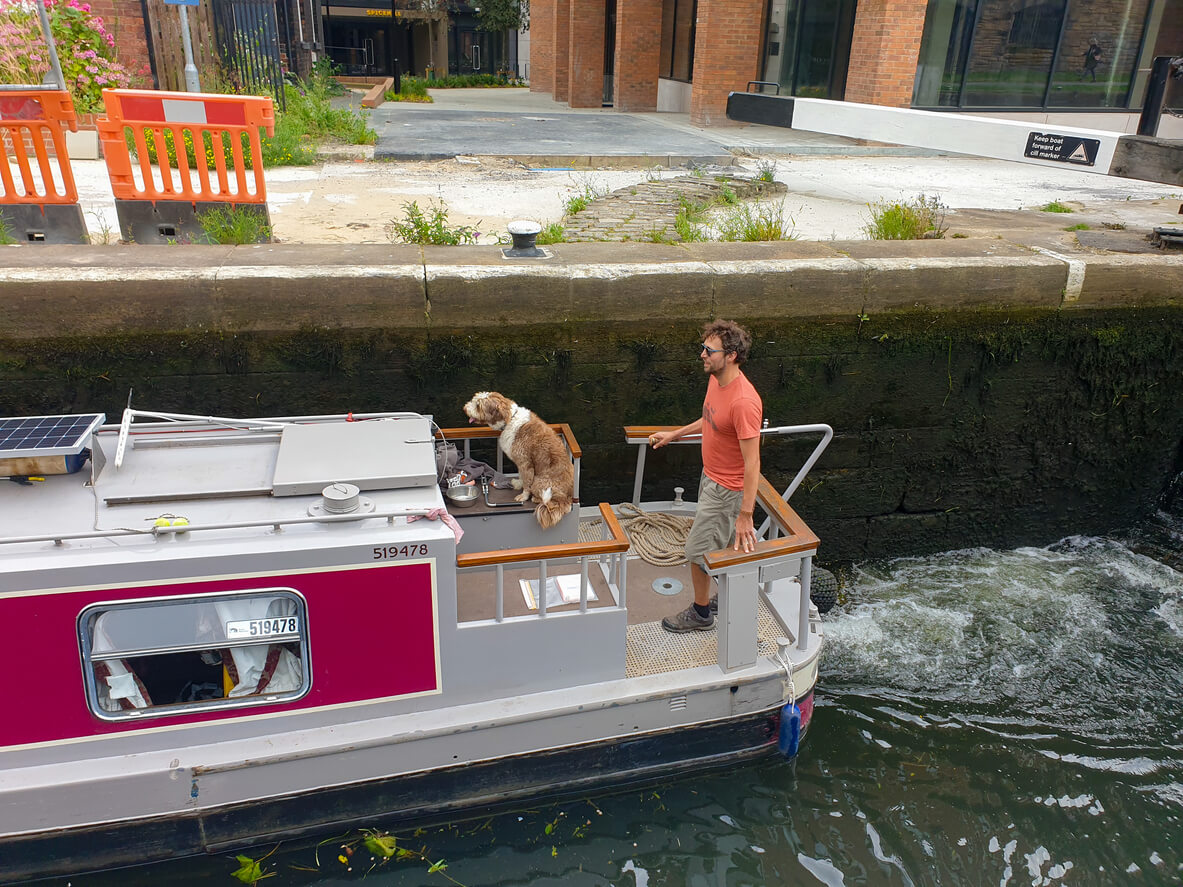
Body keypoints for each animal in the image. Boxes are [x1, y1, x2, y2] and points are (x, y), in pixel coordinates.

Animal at [461, 392, 572, 532]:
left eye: (478, 405)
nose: (464, 408)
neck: (510, 420)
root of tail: (566, 499)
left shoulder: (525, 462)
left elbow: (527, 481)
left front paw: (523, 496)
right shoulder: (520, 463)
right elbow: (521, 476)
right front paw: (518, 483)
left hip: (540, 483)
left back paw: (535, 497)